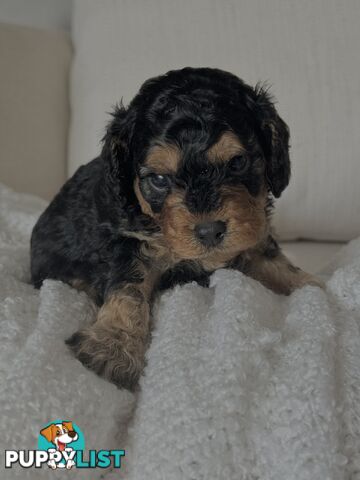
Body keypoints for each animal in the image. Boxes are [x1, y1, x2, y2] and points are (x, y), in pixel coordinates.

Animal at [31, 68, 322, 390]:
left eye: (237, 162)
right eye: (158, 178)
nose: (210, 231)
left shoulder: (252, 237)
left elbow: (280, 267)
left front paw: (315, 287)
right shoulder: (127, 241)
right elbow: (128, 289)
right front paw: (113, 346)